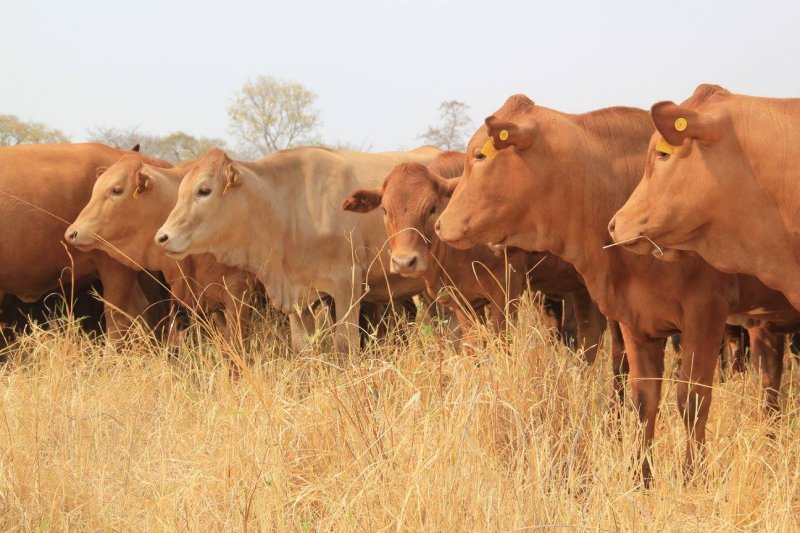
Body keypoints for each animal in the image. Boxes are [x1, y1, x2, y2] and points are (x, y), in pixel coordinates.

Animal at [155, 146, 439, 352]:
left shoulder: (347, 284)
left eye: (204, 190)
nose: (162, 237)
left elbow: (345, 345)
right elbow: (301, 348)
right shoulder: (298, 298)